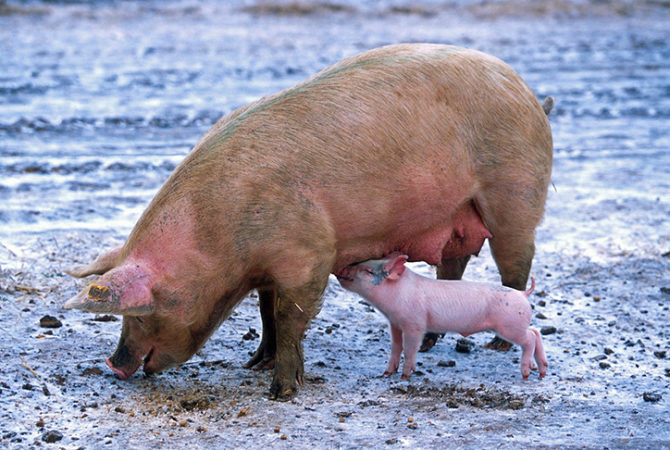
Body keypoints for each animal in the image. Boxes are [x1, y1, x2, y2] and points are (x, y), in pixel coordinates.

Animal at [338, 255, 548, 378]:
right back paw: (541, 370)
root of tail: (523, 294)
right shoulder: (395, 323)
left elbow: (410, 348)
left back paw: (527, 373)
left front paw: (406, 376)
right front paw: (387, 373)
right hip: (517, 324)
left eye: (368, 271)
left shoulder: (415, 323)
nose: (341, 269)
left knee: (530, 338)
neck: (397, 293)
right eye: (360, 263)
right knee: (535, 332)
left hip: (510, 326)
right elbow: (396, 347)